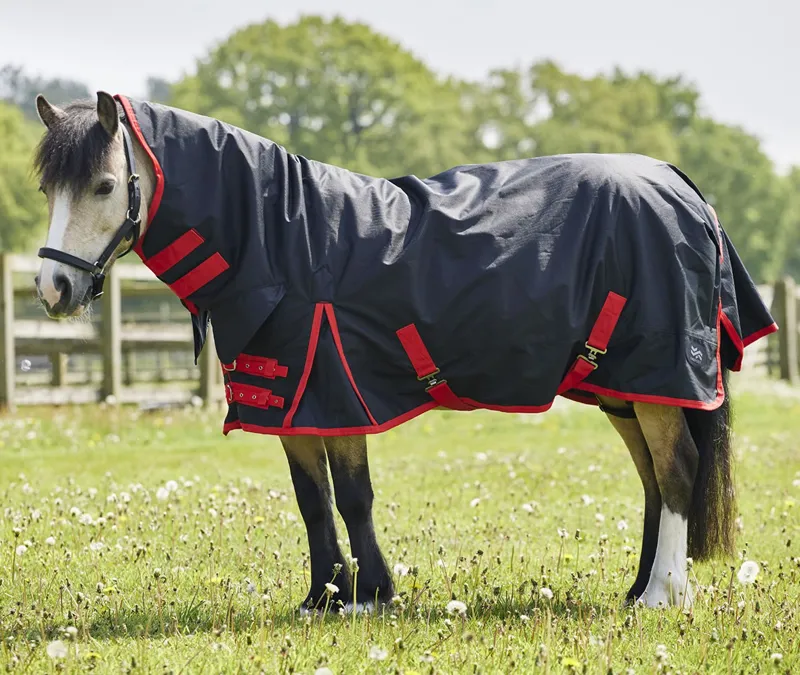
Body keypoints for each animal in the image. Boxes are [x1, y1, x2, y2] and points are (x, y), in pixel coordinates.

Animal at [31, 92, 777, 614]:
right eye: (46, 189)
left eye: (104, 185)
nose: (52, 288)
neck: (282, 237)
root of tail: (680, 186)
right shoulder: (292, 405)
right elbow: (313, 500)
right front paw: (322, 597)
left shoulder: (338, 391)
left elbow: (353, 496)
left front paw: (369, 595)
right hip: (626, 386)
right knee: (654, 479)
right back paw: (639, 586)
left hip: (658, 377)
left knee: (677, 471)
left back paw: (663, 594)